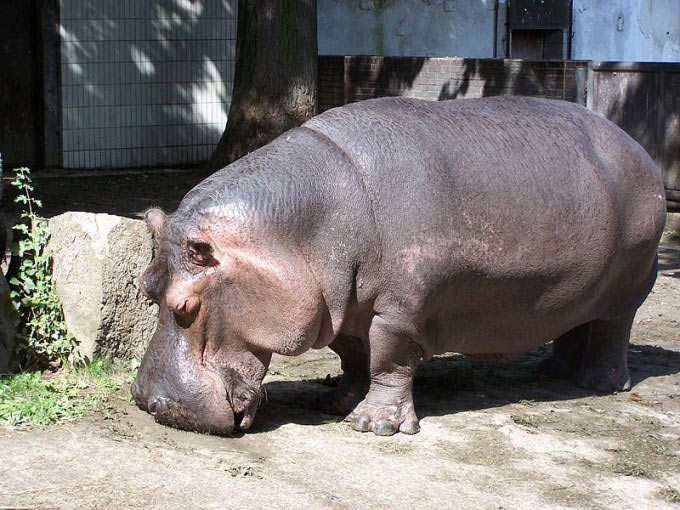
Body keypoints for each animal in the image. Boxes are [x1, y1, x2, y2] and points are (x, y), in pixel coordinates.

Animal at [131, 96, 666, 436]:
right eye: (145, 287)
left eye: (186, 306)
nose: (145, 402)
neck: (293, 232)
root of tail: (640, 149)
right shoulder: (344, 304)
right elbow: (353, 356)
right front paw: (336, 403)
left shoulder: (399, 311)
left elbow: (389, 360)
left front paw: (375, 426)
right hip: (579, 286)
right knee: (578, 321)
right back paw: (556, 371)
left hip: (630, 282)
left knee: (613, 329)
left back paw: (598, 385)